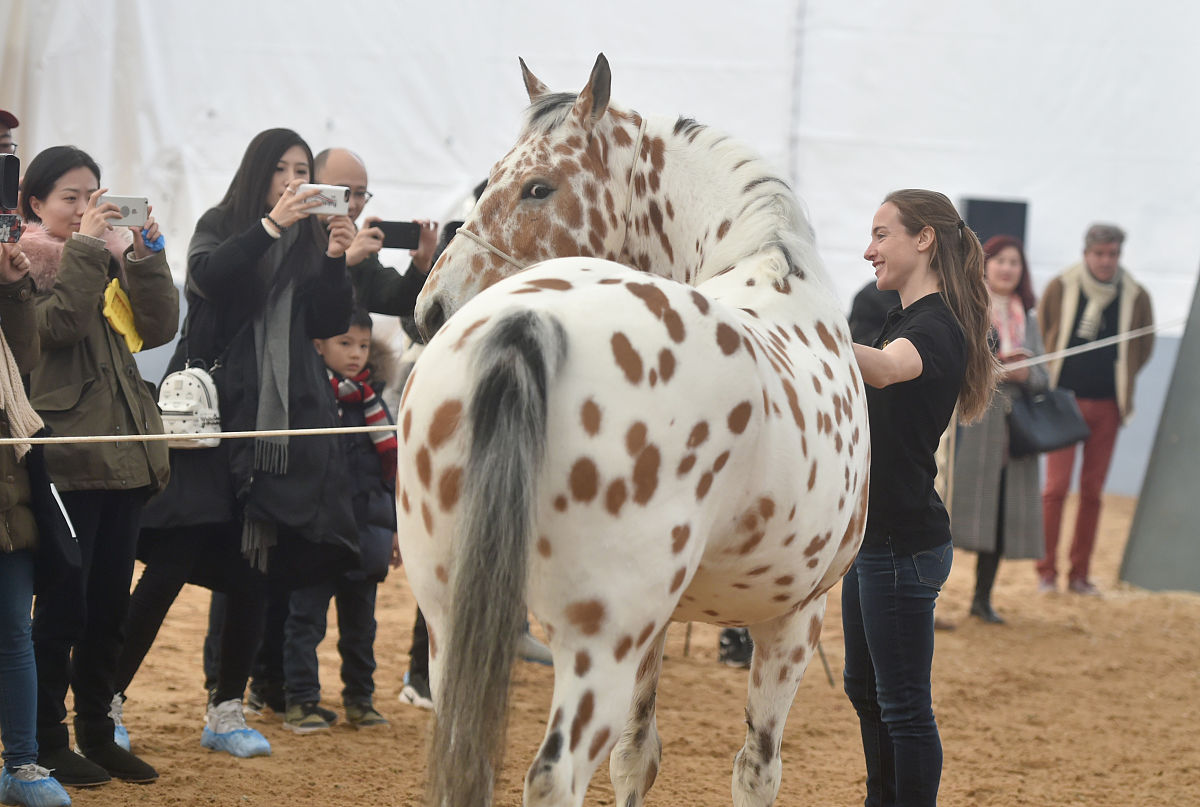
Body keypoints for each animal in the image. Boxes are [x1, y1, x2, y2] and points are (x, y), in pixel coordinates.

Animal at [397, 54, 870, 807]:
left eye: (538, 185)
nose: (429, 309)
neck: (765, 262)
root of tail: (527, 325)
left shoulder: (665, 622)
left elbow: (637, 756)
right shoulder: (793, 619)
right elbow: (756, 767)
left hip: (453, 618)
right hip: (599, 645)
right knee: (552, 776)